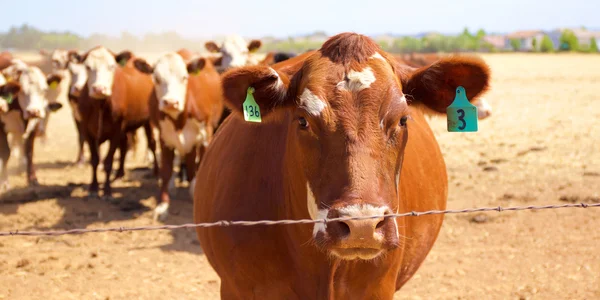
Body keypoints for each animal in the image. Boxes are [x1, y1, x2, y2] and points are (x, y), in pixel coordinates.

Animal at [74, 45, 158, 198]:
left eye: (111, 66)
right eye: (88, 66)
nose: (99, 89)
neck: (100, 105)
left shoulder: (116, 130)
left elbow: (108, 161)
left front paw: (107, 190)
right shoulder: (87, 131)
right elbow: (95, 160)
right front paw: (93, 187)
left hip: (148, 122)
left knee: (152, 144)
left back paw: (156, 171)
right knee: (124, 146)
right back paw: (119, 174)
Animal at [132, 48, 224, 220]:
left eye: (184, 77)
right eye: (156, 78)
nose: (170, 102)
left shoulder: (205, 137)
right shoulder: (165, 139)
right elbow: (166, 170)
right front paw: (163, 205)